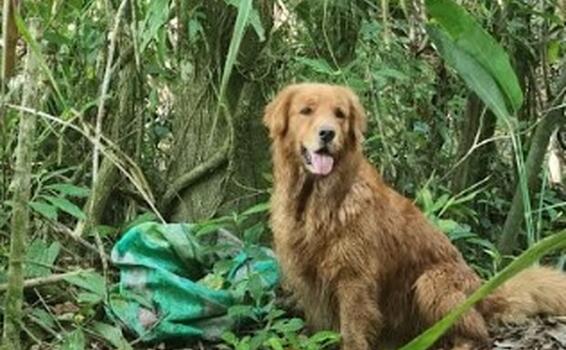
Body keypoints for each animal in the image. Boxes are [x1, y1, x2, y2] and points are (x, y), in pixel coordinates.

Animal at [264, 82, 566, 350]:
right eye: (306, 110)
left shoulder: (354, 280)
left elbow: (352, 334)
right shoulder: (308, 281)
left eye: (340, 114)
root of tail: (483, 290)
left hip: (430, 282)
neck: (314, 202)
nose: (327, 134)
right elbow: (321, 329)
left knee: (478, 334)